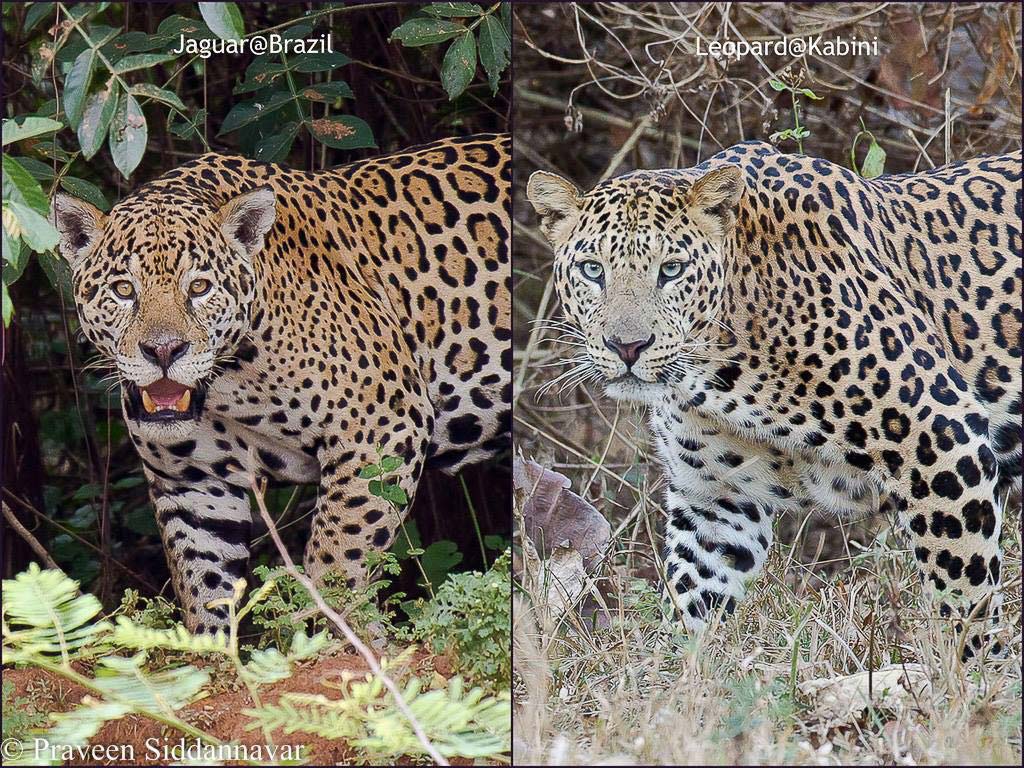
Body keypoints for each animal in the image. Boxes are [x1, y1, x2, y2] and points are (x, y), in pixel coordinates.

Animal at [54, 134, 509, 638]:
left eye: (199, 288)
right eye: (123, 290)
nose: (164, 350)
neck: (228, 384)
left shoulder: (383, 429)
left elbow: (337, 559)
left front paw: (340, 638)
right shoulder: (192, 483)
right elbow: (204, 586)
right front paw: (211, 651)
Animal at [532, 143, 1019, 663]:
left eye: (671, 270)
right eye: (592, 270)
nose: (627, 347)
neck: (719, 371)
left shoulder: (942, 439)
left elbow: (963, 591)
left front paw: (975, 676)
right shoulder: (715, 499)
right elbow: (696, 595)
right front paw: (685, 676)